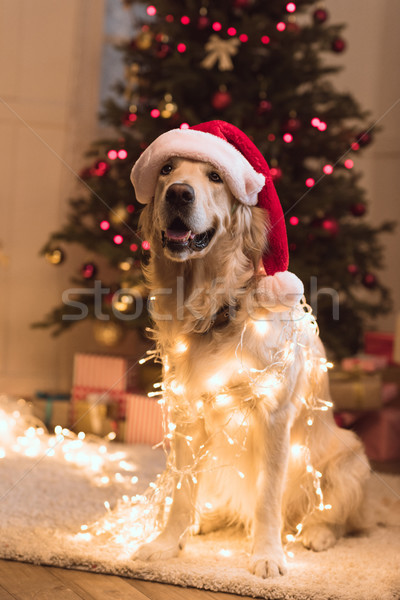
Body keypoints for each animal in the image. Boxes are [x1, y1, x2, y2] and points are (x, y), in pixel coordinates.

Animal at [130, 122, 370, 576]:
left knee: (336, 517)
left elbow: (267, 497)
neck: (216, 306)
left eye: (215, 177)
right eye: (167, 169)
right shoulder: (187, 411)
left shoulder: (273, 415)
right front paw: (167, 543)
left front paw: (267, 555)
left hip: (349, 461)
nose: (179, 193)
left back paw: (316, 533)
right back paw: (204, 522)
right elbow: (182, 489)